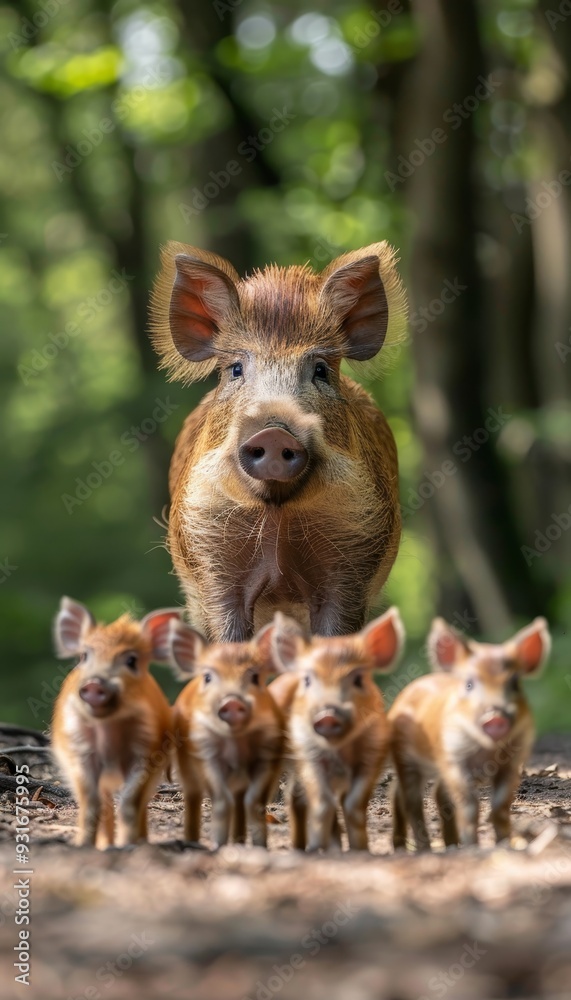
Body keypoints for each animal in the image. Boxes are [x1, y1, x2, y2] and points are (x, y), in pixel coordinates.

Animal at [51, 597, 179, 848]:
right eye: (83, 656)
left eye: (131, 660)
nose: (94, 683)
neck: (108, 729)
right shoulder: (79, 751)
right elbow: (91, 802)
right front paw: (83, 845)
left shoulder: (146, 753)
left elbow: (130, 803)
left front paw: (128, 845)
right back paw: (105, 845)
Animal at [150, 241, 408, 642]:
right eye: (235, 369)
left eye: (320, 369)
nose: (273, 431)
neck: (277, 520)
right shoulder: (211, 558)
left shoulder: (354, 558)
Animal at [167, 618, 286, 847]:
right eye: (207, 677)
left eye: (255, 677)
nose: (232, 700)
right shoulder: (206, 753)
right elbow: (221, 800)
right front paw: (218, 845)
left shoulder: (267, 755)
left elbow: (254, 802)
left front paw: (261, 847)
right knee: (193, 797)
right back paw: (193, 842)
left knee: (239, 803)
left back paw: (239, 841)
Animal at [268, 607, 404, 851]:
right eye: (308, 680)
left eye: (358, 678)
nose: (328, 715)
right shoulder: (308, 752)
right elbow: (322, 802)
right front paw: (316, 849)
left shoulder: (373, 755)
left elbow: (352, 804)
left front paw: (360, 850)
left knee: (297, 797)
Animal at [388, 616, 551, 851]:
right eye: (469, 684)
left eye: (515, 683)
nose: (495, 716)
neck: (488, 751)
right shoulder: (452, 758)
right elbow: (469, 806)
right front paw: (473, 848)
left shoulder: (513, 763)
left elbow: (500, 806)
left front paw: (506, 844)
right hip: (404, 757)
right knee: (410, 800)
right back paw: (423, 849)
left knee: (428, 794)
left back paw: (450, 846)